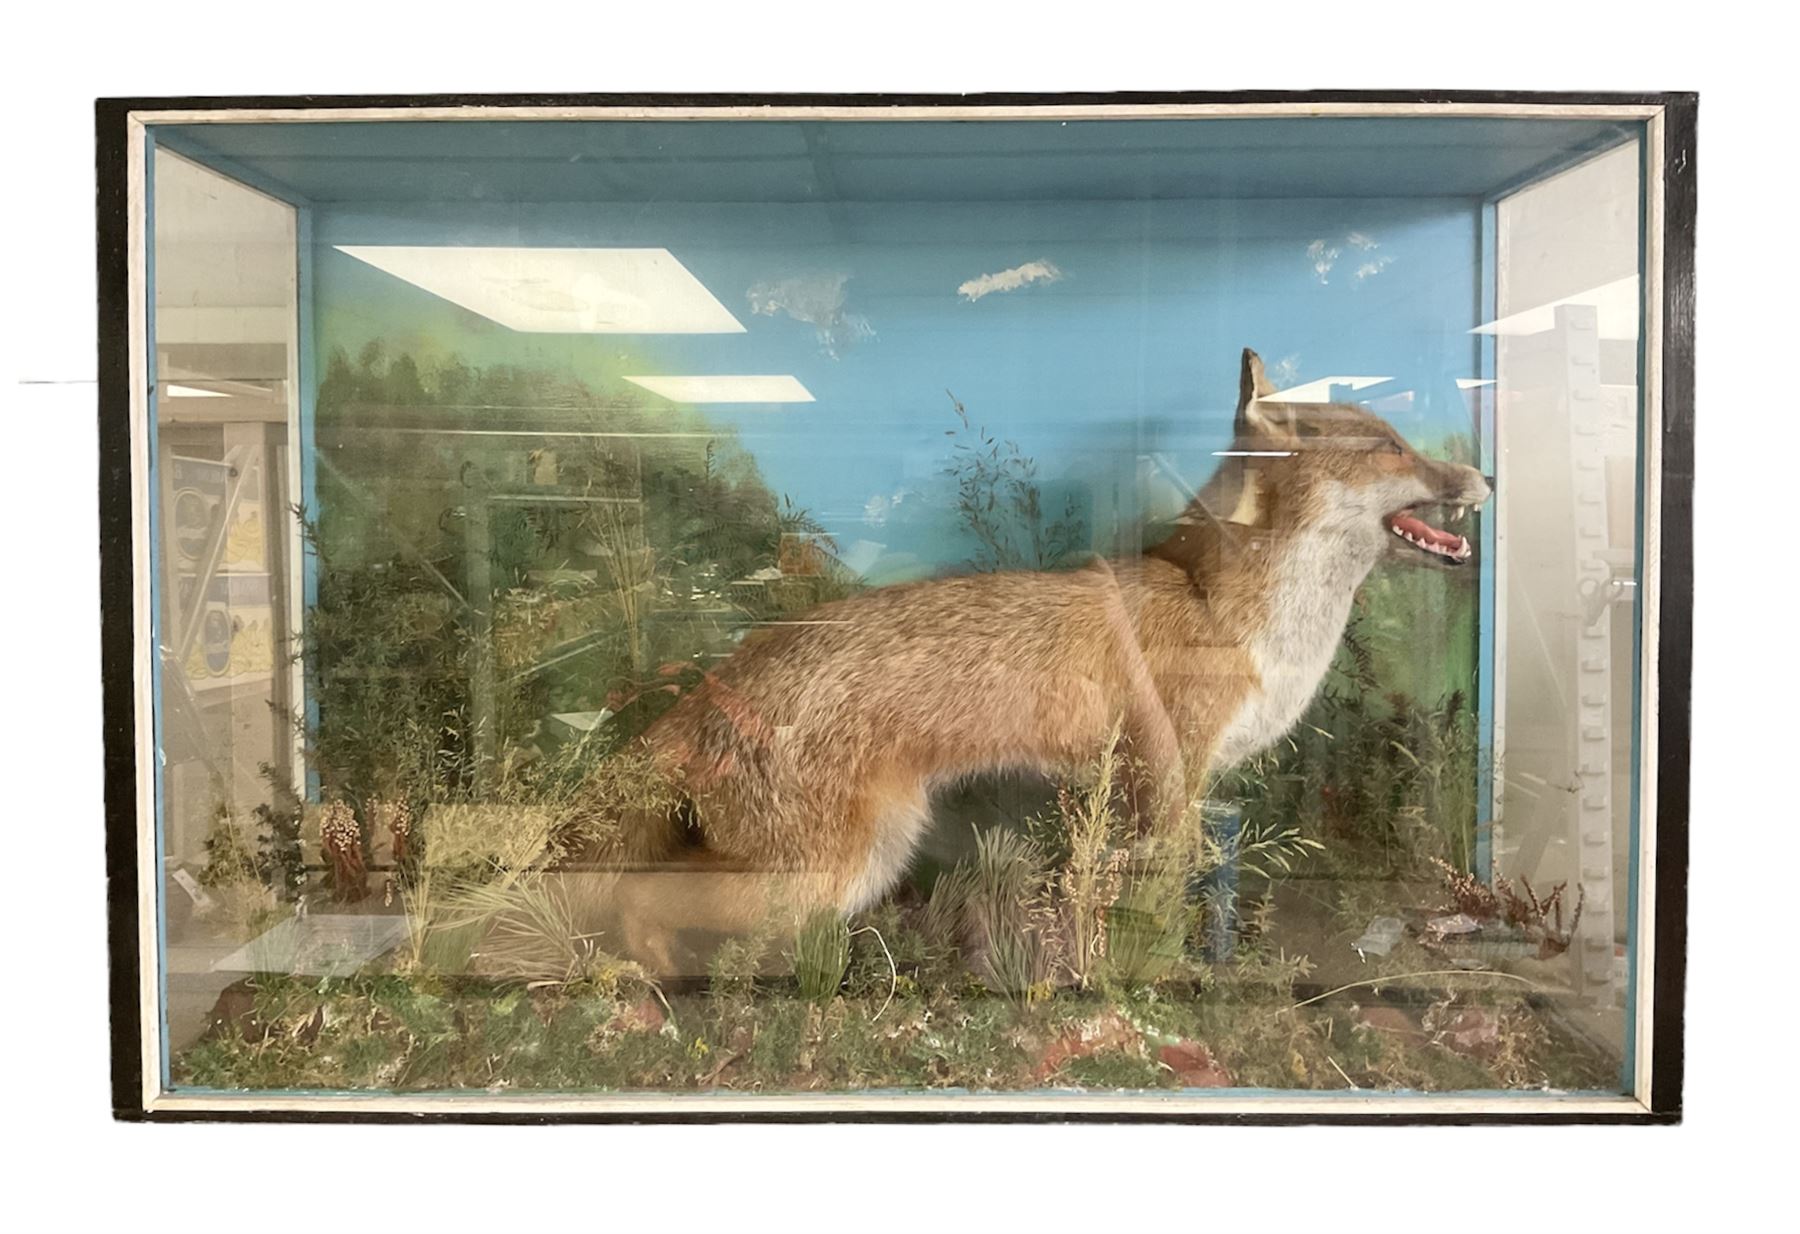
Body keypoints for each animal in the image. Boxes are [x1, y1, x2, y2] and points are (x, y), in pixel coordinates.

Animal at [603, 348, 1492, 972]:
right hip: (821, 875)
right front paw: (1161, 978)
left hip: (855, 866)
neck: (1222, 610)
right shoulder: (1167, 777)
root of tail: (719, 680)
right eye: (1389, 447)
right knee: (636, 895)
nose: (1484, 474)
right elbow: (1159, 907)